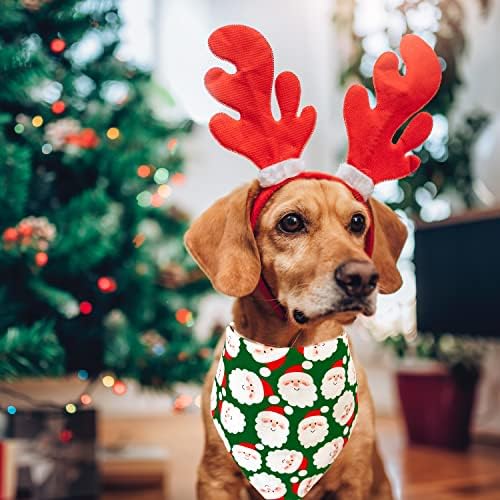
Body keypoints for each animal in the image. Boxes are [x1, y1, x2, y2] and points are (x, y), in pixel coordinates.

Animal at [185, 178, 406, 498]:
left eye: (357, 222)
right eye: (291, 222)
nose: (364, 277)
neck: (293, 350)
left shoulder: (353, 481)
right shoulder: (215, 479)